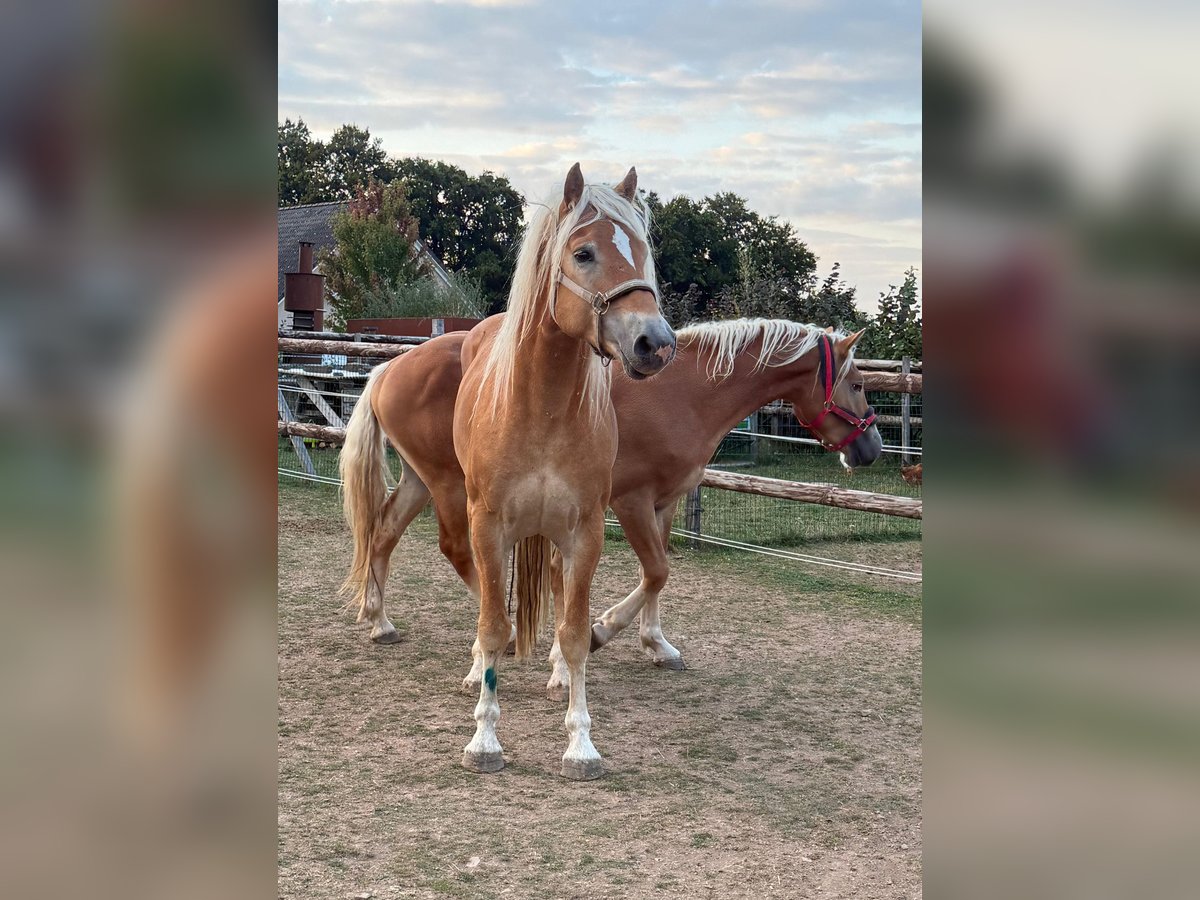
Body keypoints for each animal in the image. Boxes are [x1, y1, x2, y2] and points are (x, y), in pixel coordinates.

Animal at [340, 163, 676, 779]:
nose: (655, 344)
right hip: (447, 488)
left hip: (429, 483)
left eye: (642, 253)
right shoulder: (490, 522)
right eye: (584, 253)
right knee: (460, 571)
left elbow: (574, 631)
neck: (541, 407)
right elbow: (496, 623)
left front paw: (580, 743)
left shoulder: (585, 531)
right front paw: (484, 740)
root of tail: (387, 370)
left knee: (387, 532)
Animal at [341, 314, 881, 683]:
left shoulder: (663, 503)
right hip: (451, 486)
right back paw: (502, 635)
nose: (872, 448)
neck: (683, 391)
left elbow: (657, 573)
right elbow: (656, 571)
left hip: (421, 478)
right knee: (454, 549)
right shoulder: (630, 501)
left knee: (383, 533)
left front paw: (655, 644)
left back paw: (380, 621)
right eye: (857, 383)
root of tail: (390, 367)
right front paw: (597, 633)